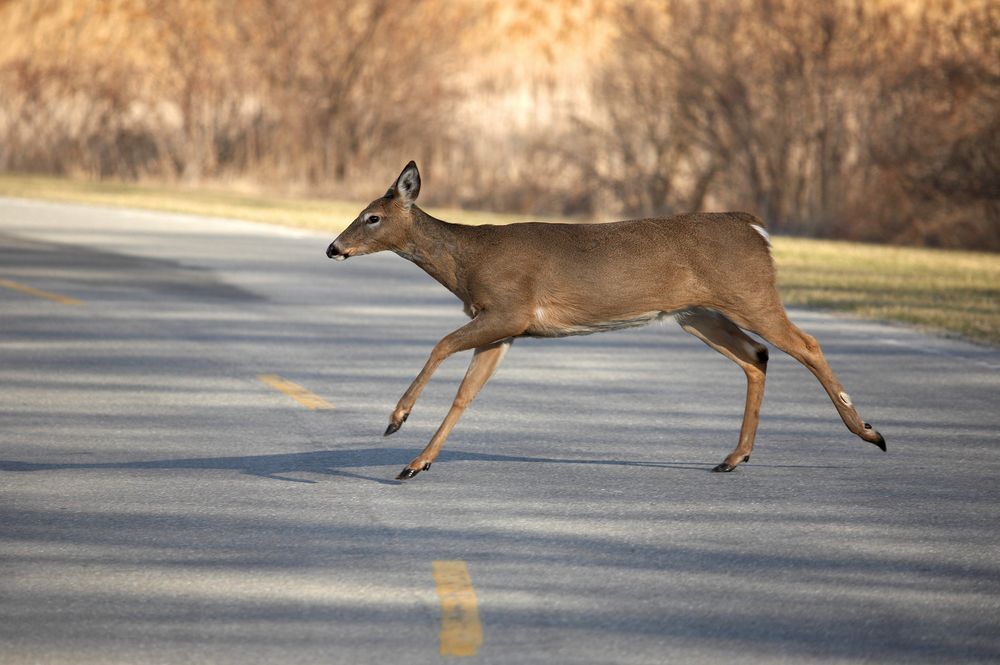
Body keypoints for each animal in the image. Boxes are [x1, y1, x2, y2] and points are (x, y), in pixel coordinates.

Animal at [326, 163, 884, 480]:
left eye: (372, 217)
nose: (334, 247)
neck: (467, 262)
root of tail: (755, 228)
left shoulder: (509, 308)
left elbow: (440, 344)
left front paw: (396, 420)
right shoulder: (505, 330)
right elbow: (467, 394)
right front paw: (416, 463)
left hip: (749, 293)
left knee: (806, 343)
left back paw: (868, 432)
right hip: (696, 313)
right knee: (757, 356)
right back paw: (733, 457)